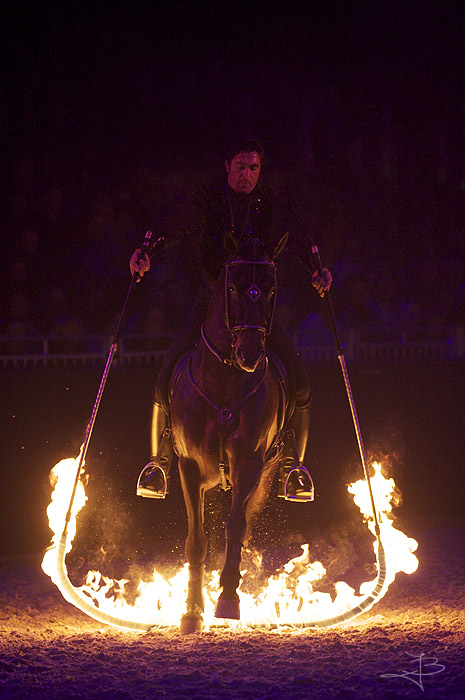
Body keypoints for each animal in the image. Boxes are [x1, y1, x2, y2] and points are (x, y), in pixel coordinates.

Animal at [169, 234, 288, 636]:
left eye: (271, 289)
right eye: (233, 287)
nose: (250, 352)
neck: (224, 381)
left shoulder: (249, 465)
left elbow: (236, 526)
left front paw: (227, 599)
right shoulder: (189, 467)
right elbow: (196, 540)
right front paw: (192, 611)